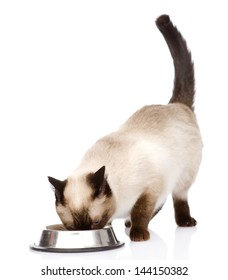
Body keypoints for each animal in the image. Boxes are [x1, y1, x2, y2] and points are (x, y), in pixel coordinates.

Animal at [48, 15, 203, 242]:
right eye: (71, 227)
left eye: (95, 223)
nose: (85, 233)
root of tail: (175, 105)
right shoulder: (153, 190)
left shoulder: (150, 189)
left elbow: (141, 212)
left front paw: (138, 234)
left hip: (183, 177)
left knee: (177, 198)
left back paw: (181, 222)